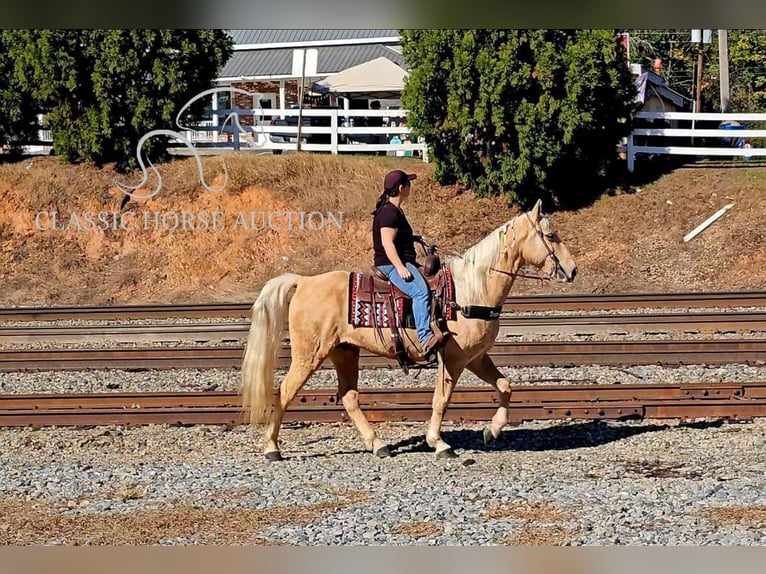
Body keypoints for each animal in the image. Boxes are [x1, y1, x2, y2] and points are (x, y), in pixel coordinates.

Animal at [243, 200, 580, 462]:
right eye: (551, 234)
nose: (572, 269)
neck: (470, 291)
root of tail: (304, 281)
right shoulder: (453, 359)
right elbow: (441, 400)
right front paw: (439, 443)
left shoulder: (475, 357)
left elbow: (505, 386)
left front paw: (491, 430)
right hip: (309, 355)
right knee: (285, 391)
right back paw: (272, 448)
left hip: (344, 352)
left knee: (349, 397)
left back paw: (378, 445)